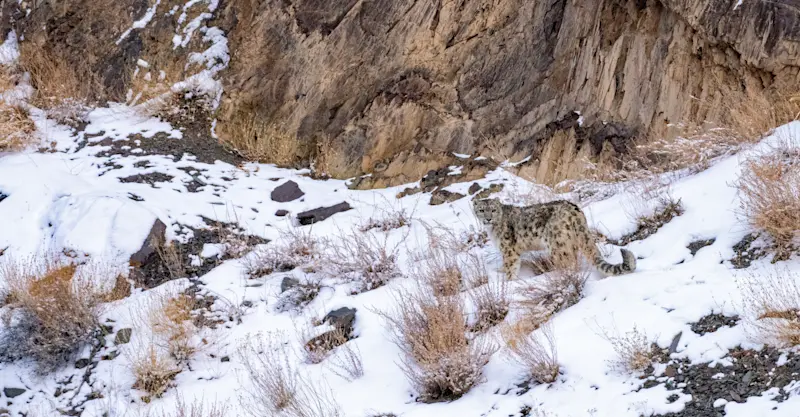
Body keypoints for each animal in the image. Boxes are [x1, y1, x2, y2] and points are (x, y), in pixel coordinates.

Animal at [472, 198, 636, 278]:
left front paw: (509, 281)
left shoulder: (509, 250)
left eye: (493, 210)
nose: (487, 219)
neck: (492, 231)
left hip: (557, 245)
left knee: (567, 263)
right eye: (481, 210)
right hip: (570, 243)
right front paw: (500, 271)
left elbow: (511, 266)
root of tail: (576, 211)